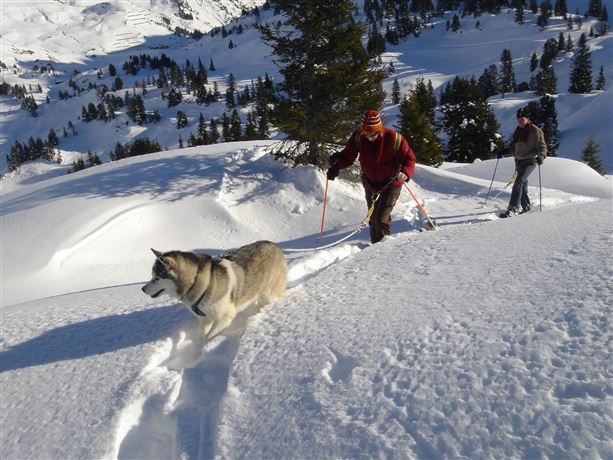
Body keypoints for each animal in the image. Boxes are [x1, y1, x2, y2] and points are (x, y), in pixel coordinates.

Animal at [143, 241, 286, 338]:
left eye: (156, 278)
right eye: (152, 275)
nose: (143, 289)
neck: (197, 282)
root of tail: (273, 245)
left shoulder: (224, 318)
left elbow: (209, 337)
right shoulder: (204, 319)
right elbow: (203, 336)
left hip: (267, 294)